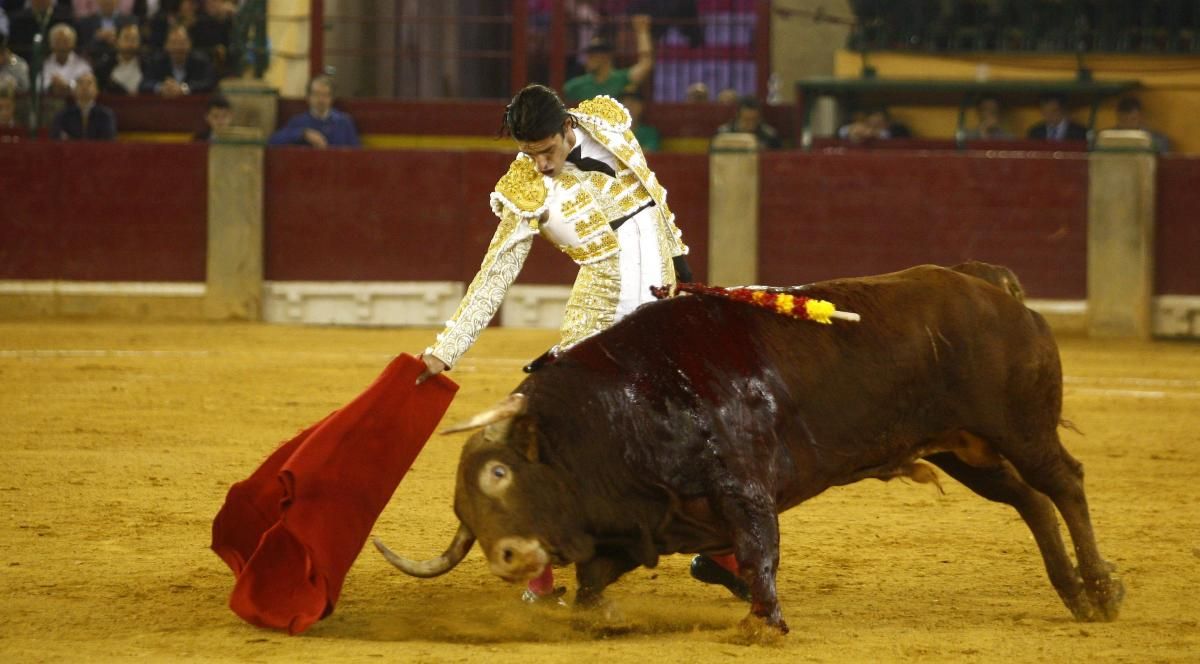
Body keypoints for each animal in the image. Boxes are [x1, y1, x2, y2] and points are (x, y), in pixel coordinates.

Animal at [376, 261, 1123, 629]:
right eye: (464, 513)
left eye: (500, 474)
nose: (506, 557)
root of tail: (997, 292)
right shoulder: (647, 519)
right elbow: (594, 582)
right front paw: (598, 615)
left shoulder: (744, 486)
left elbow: (761, 549)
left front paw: (762, 623)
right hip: (959, 448)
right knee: (1028, 499)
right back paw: (1074, 592)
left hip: (1018, 426)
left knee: (1066, 483)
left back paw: (1101, 589)